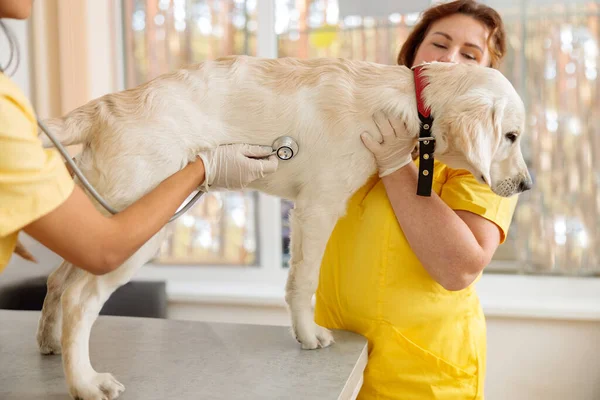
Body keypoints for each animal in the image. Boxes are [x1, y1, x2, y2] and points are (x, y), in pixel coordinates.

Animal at [34, 56, 528, 400]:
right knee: (79, 297)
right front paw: (308, 336)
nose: (527, 184)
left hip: (106, 218)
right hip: (138, 230)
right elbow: (303, 282)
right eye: (512, 136)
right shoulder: (318, 207)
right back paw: (85, 382)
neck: (409, 102)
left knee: (58, 279)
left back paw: (49, 343)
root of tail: (105, 108)